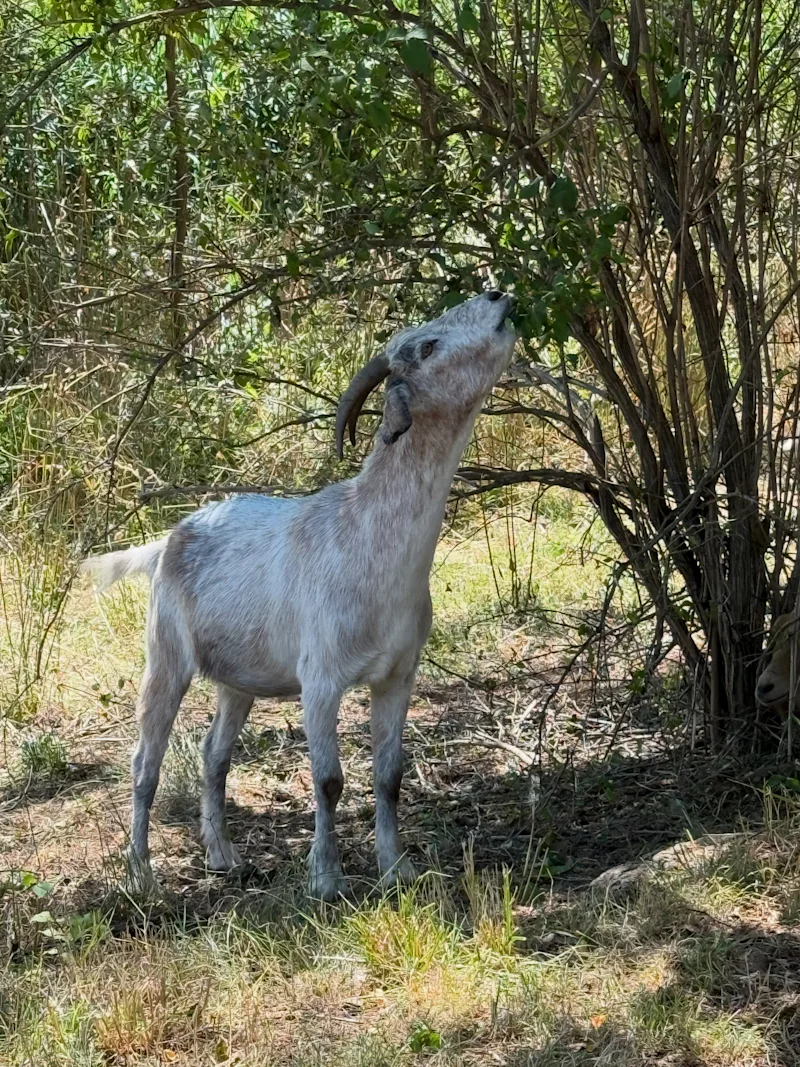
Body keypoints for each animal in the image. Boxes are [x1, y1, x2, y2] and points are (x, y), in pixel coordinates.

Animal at [82, 290, 516, 899]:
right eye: (428, 346)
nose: (497, 296)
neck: (367, 538)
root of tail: (170, 539)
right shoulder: (321, 679)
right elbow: (329, 780)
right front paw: (326, 878)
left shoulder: (398, 675)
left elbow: (390, 775)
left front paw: (396, 868)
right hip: (165, 655)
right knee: (146, 760)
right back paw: (140, 874)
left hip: (236, 680)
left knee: (213, 754)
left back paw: (222, 855)